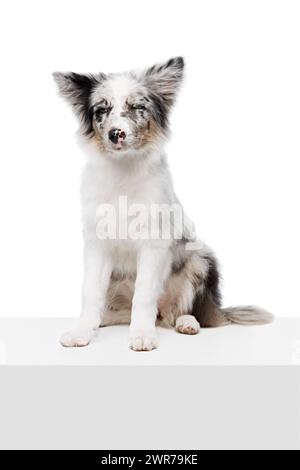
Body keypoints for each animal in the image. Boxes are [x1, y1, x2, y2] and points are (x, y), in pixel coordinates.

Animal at [52, 57, 274, 350]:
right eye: (102, 109)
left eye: (137, 107)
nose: (115, 133)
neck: (124, 172)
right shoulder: (97, 245)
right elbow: (90, 293)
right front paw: (82, 331)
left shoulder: (154, 244)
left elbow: (144, 294)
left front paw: (142, 335)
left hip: (201, 260)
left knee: (185, 311)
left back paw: (187, 323)